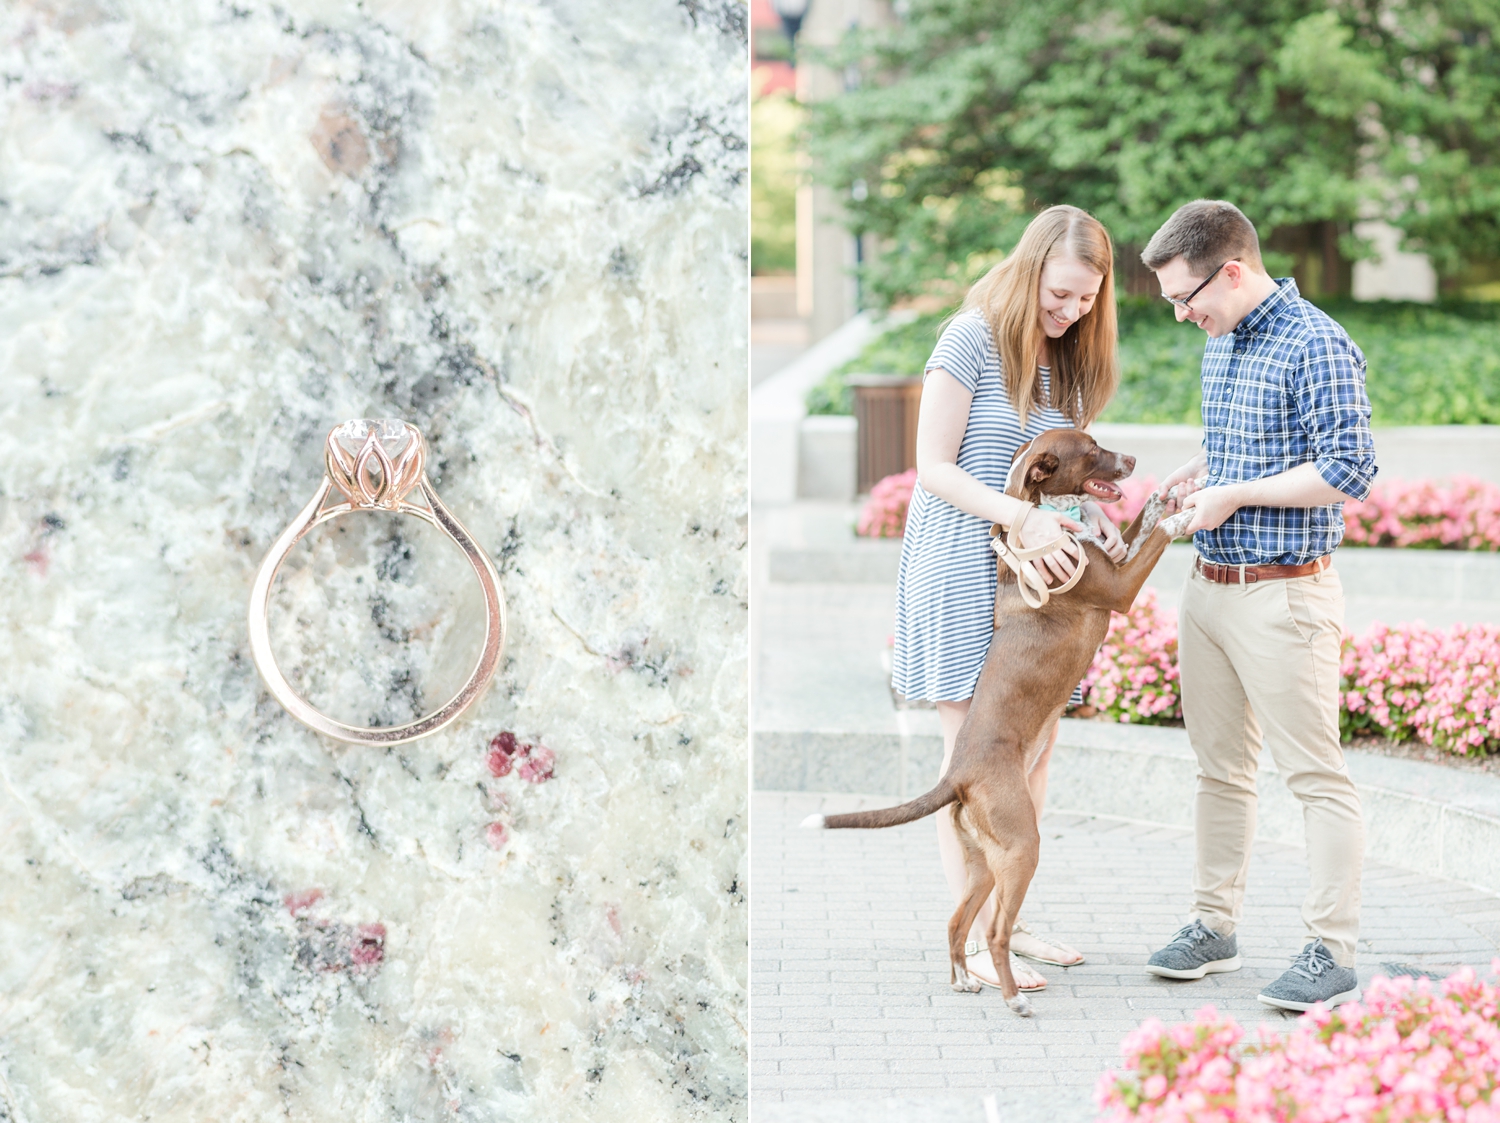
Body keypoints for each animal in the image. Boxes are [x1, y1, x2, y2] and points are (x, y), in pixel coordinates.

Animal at [804, 428, 1188, 1013]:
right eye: (1091, 450)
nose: (1134, 458)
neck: (1043, 520)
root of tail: (958, 775)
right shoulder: (1120, 589)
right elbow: (1155, 539)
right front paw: (1185, 516)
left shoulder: (1115, 557)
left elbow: (1137, 524)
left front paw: (1164, 498)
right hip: (1022, 847)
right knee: (995, 931)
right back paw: (1013, 999)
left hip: (987, 860)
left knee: (956, 921)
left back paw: (965, 979)